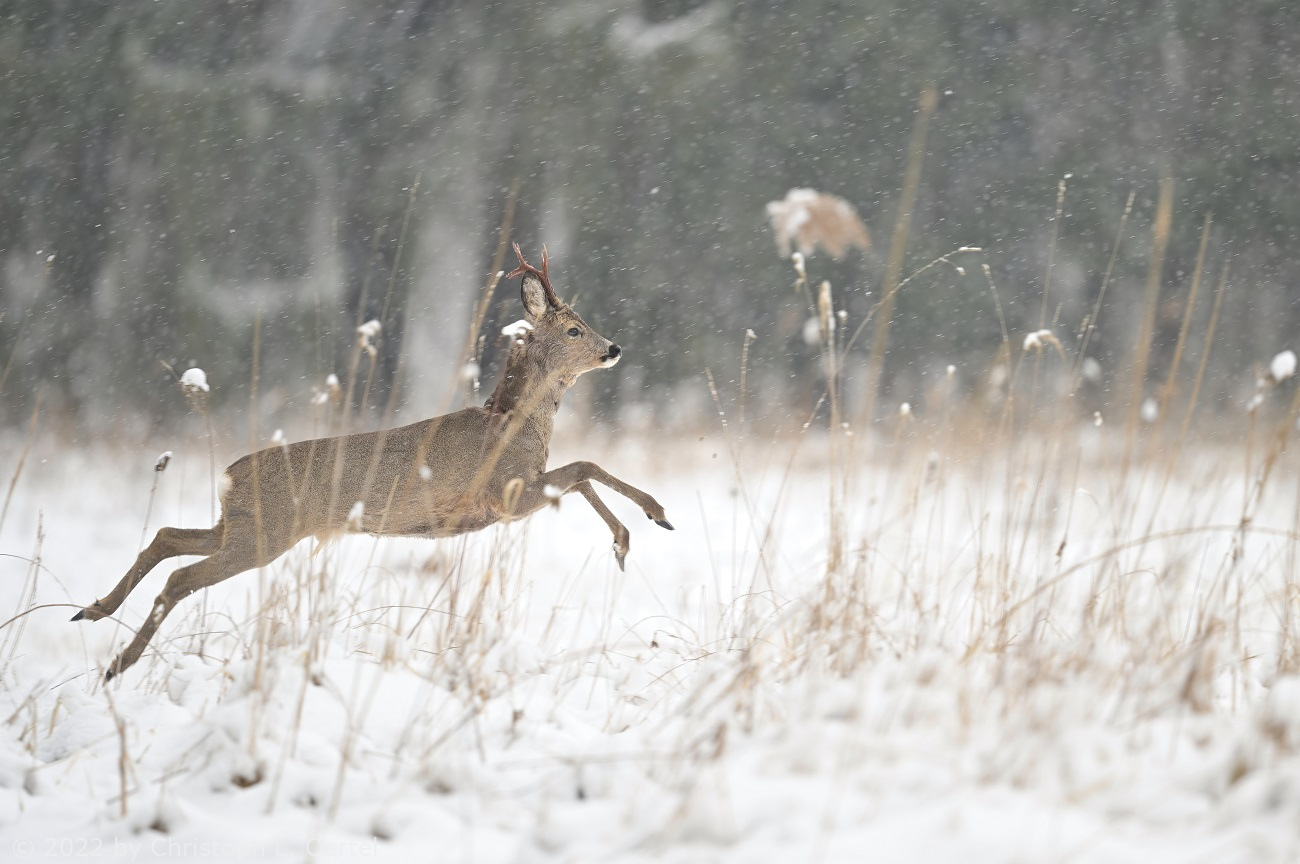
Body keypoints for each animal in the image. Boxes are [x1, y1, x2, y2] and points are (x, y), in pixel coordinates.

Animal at [73, 244, 673, 680]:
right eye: (573, 329)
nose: (614, 348)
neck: (512, 425)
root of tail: (229, 474)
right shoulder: (504, 494)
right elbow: (585, 467)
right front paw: (653, 516)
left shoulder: (520, 492)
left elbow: (580, 475)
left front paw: (625, 540)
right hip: (265, 535)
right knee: (181, 577)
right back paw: (117, 663)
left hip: (244, 526)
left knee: (167, 537)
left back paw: (93, 610)